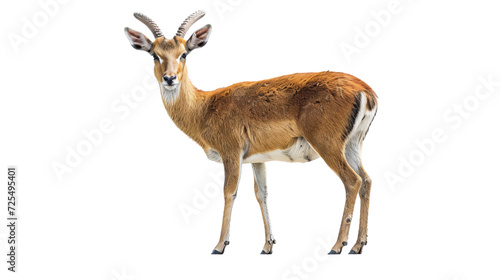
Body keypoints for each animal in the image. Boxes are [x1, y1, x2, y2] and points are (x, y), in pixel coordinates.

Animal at [125, 10, 378, 255]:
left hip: (329, 146)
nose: (169, 78)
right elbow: (261, 194)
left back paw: (337, 246)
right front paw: (268, 245)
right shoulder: (257, 160)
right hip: (352, 146)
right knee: (366, 180)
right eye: (154, 54)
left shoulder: (231, 153)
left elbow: (229, 192)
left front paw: (219, 245)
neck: (204, 107)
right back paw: (358, 245)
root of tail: (366, 91)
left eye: (184, 53)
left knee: (352, 181)